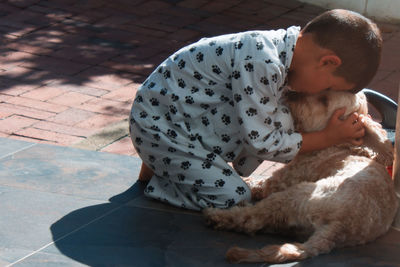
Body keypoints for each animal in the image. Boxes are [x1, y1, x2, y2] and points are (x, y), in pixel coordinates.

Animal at [205, 90, 398, 264]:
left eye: (324, 99)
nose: (291, 93)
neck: (336, 146)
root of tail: (339, 227)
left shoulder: (278, 182)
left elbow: (255, 184)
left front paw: (246, 182)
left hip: (293, 195)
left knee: (249, 219)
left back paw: (217, 215)